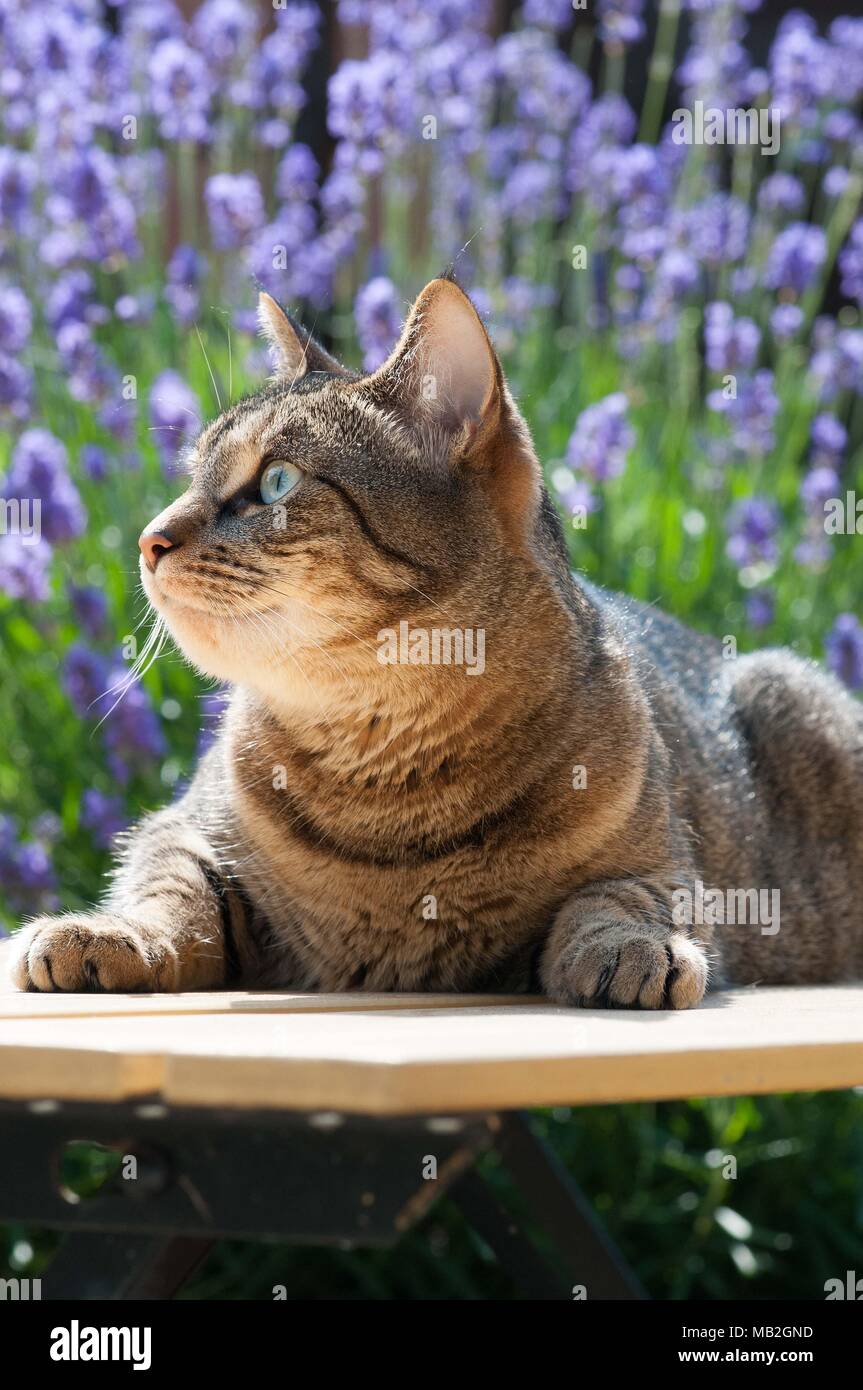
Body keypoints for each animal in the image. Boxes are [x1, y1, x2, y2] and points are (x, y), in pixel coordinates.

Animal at [11, 276, 861, 1006]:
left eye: (277, 482)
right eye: (191, 474)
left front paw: (628, 948)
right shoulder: (182, 828)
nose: (149, 538)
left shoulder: (669, 863)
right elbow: (167, 891)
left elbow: (619, 896)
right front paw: (104, 933)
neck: (384, 776)